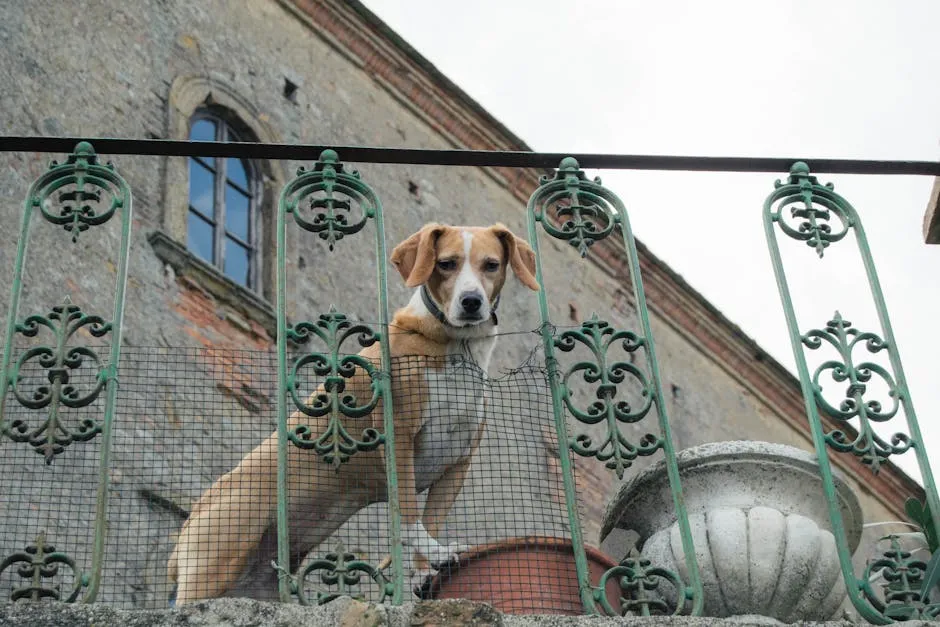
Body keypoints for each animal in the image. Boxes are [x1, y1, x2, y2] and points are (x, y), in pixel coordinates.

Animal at [165, 223, 540, 600]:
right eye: (446, 264)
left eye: (491, 265)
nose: (471, 302)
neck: (454, 346)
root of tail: (182, 539)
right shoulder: (399, 437)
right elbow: (409, 517)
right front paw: (435, 554)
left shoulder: (459, 459)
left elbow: (431, 520)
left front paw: (426, 570)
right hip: (213, 569)